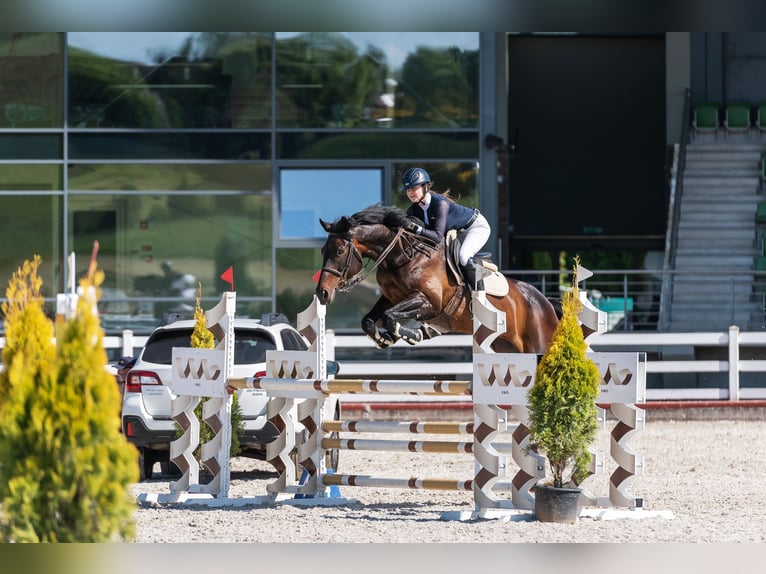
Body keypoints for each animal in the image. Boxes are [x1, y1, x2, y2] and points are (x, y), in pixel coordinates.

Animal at [316, 205, 560, 354]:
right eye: (322, 250)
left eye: (340, 251)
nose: (322, 293)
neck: (402, 257)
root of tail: (545, 301)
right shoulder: (391, 298)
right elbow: (369, 320)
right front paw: (385, 339)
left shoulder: (429, 302)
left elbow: (389, 317)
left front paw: (411, 334)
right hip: (504, 346)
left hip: (539, 344)